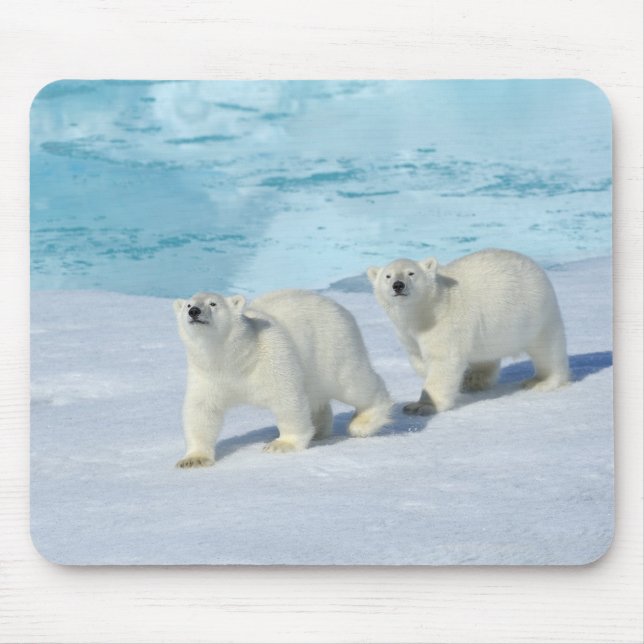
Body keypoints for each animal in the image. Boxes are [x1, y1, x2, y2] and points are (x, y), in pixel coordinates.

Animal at [173, 289, 392, 467]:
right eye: (188, 305)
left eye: (213, 303)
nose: (194, 312)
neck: (234, 358)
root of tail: (336, 305)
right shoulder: (207, 374)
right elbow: (201, 410)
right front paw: (193, 459)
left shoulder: (272, 356)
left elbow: (287, 398)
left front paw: (281, 444)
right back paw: (319, 430)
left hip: (333, 347)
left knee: (354, 383)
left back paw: (363, 423)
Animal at [367, 248, 570, 415]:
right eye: (387, 276)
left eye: (411, 273)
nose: (398, 285)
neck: (425, 311)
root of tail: (534, 265)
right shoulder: (408, 334)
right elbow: (418, 358)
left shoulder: (444, 323)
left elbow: (443, 361)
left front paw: (421, 406)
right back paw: (474, 380)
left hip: (537, 313)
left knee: (547, 349)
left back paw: (542, 381)